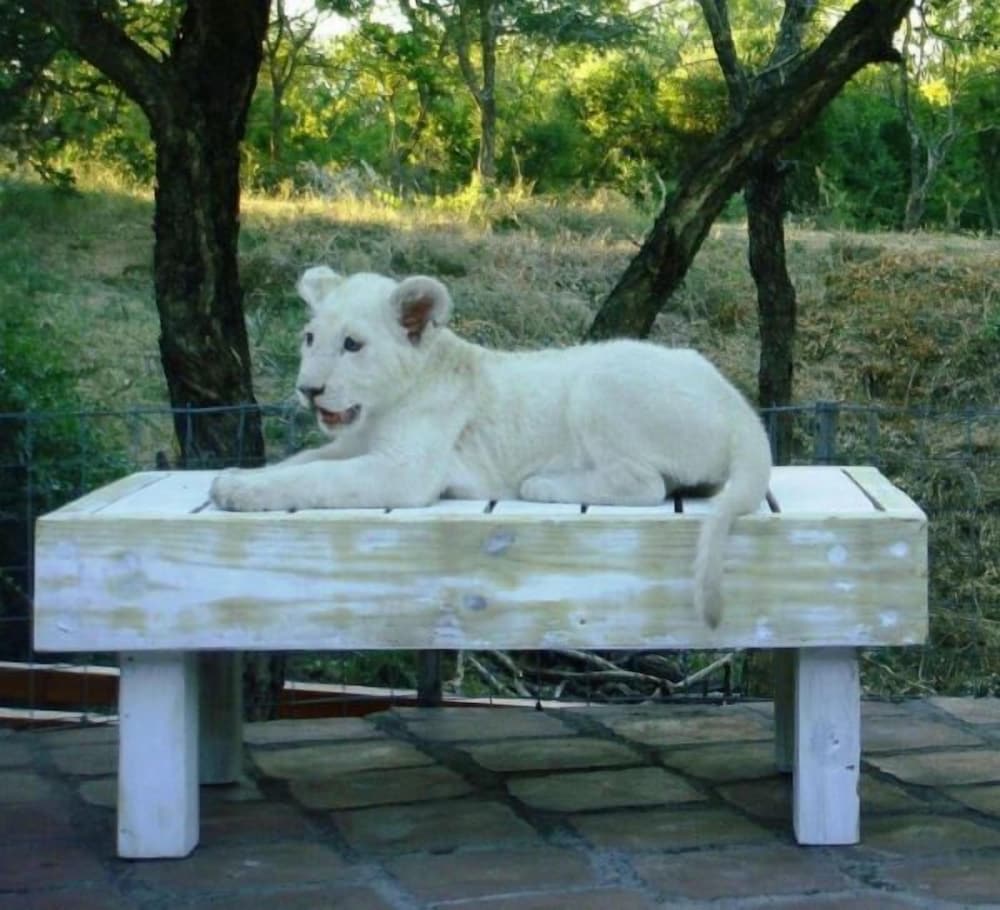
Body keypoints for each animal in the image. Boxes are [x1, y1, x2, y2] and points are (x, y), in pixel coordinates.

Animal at [210, 267, 773, 626]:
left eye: (352, 345)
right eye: (310, 339)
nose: (308, 389)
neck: (381, 408)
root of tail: (741, 410)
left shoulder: (403, 470)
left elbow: (316, 476)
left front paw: (237, 492)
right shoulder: (354, 445)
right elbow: (303, 460)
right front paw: (240, 477)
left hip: (600, 381)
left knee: (646, 483)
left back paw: (544, 483)